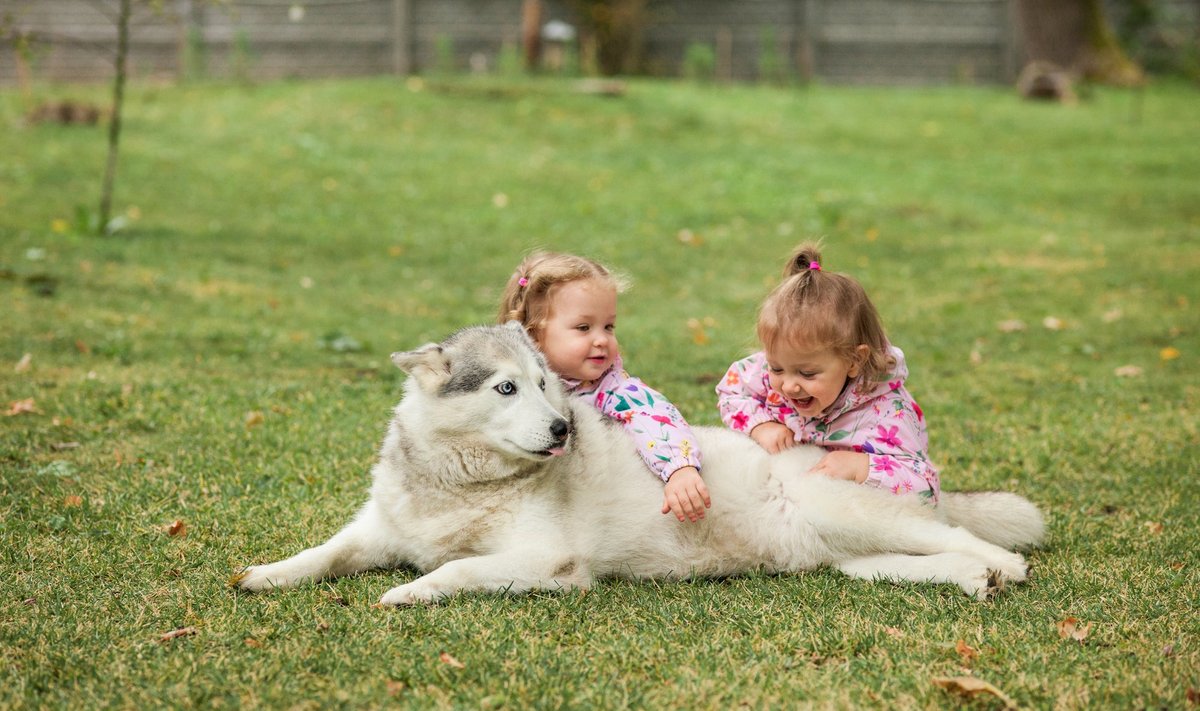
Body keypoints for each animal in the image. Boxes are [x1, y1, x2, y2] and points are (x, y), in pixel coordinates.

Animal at [234, 321, 1041, 605]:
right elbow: (324, 554)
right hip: (850, 556)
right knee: (929, 559)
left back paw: (1005, 565)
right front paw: (267, 573)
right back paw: (976, 579)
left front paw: (410, 590)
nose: (565, 427)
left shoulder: (548, 562)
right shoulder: (375, 531)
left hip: (843, 507)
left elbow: (456, 570)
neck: (461, 484)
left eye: (549, 385)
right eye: (506, 387)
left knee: (966, 537)